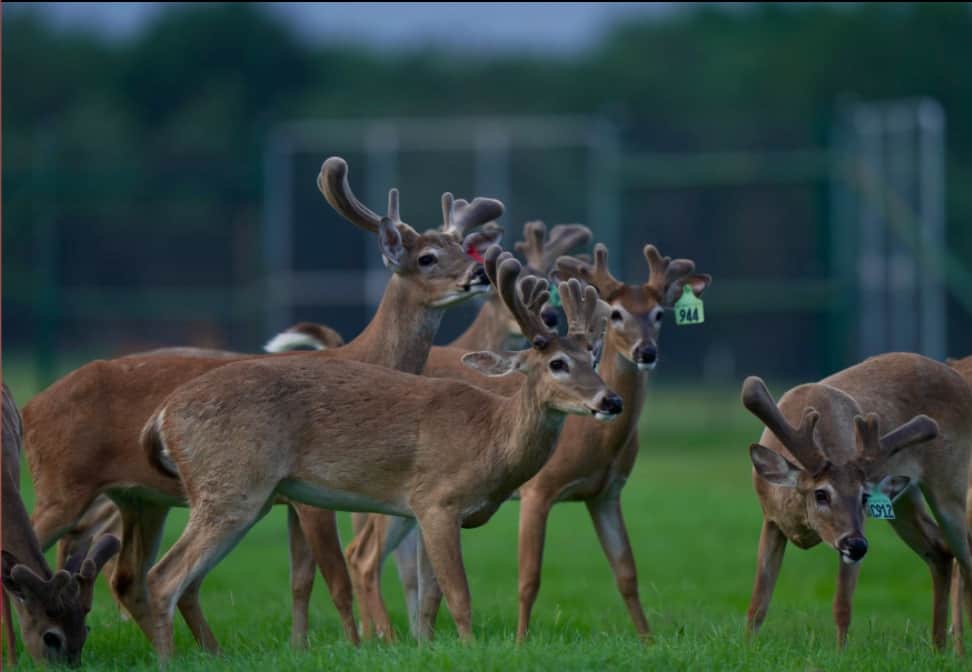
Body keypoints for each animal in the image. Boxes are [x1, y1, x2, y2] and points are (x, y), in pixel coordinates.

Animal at [20, 156, 502, 653]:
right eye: (426, 258)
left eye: (463, 248)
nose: (479, 275)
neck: (365, 356)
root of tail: (31, 408)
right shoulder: (313, 496)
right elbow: (336, 578)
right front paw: (358, 645)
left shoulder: (288, 499)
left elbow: (301, 579)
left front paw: (301, 646)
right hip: (65, 485)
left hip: (137, 497)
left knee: (126, 577)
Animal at [140, 249, 621, 661]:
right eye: (557, 363)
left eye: (593, 357)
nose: (611, 400)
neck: (489, 437)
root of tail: (161, 416)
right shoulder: (436, 499)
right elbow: (459, 595)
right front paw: (469, 651)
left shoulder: (430, 513)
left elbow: (429, 600)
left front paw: (427, 649)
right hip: (230, 487)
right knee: (162, 578)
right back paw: (169, 661)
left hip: (245, 496)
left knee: (184, 582)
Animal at [341, 241, 711, 642]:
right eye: (616, 314)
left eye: (659, 314)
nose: (646, 352)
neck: (596, 442)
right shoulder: (538, 489)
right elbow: (529, 578)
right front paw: (520, 642)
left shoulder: (606, 493)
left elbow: (627, 572)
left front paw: (647, 641)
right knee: (363, 555)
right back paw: (382, 636)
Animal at [742, 353, 972, 652]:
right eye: (821, 493)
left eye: (864, 496)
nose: (857, 545)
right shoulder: (771, 520)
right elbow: (758, 603)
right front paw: (747, 646)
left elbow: (842, 606)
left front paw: (840, 654)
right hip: (904, 500)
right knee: (940, 551)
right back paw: (938, 648)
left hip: (952, 486)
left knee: (965, 559)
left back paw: (956, 651)